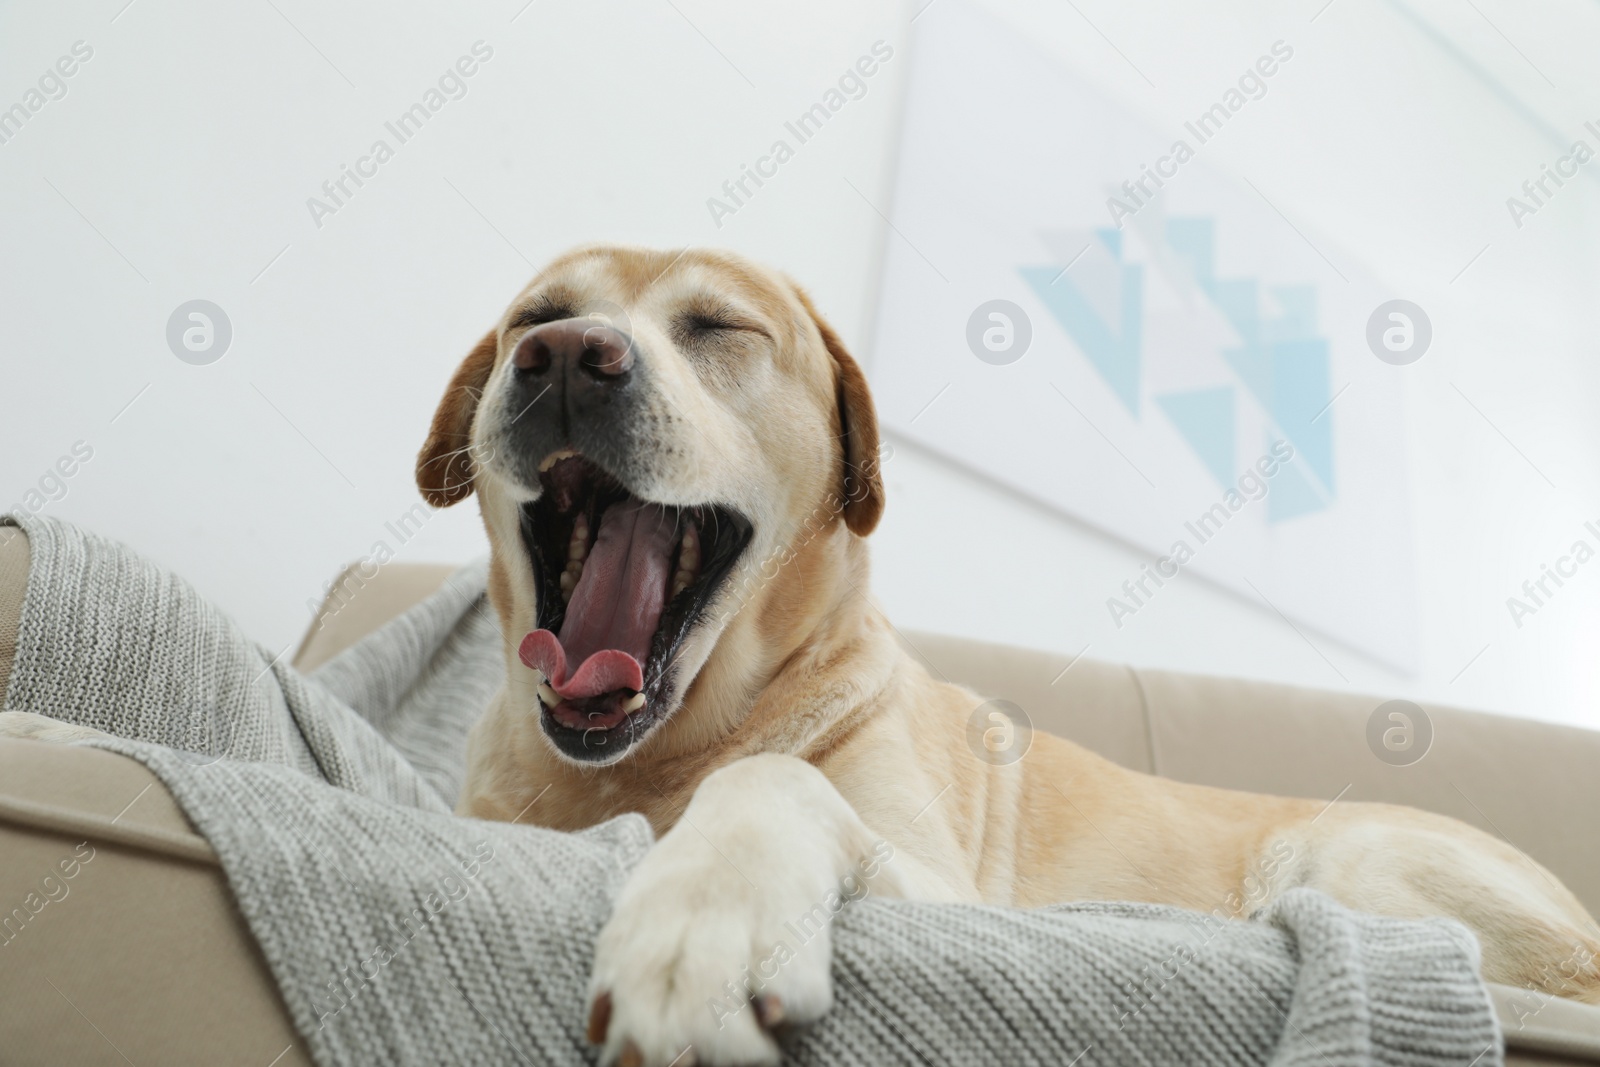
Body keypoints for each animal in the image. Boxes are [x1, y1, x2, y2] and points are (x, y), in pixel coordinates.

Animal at [412, 246, 1600, 1062]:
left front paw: (703, 922)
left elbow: (774, 781)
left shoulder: (937, 884)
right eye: (536, 317)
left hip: (1355, 861)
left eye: (716, 325)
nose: (567, 356)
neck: (649, 761)